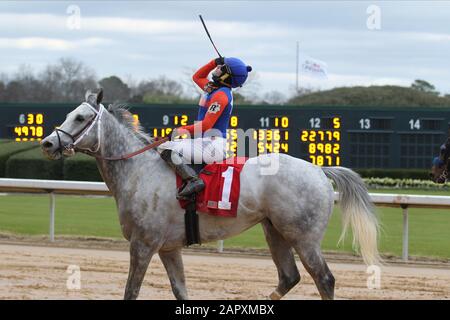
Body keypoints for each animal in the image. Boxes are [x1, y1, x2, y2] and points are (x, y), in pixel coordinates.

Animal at [39, 90, 380, 300]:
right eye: (70, 113)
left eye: (80, 117)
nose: (47, 143)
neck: (139, 170)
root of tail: (320, 170)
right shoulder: (168, 247)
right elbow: (180, 291)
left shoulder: (144, 243)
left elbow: (131, 291)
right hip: (275, 232)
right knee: (289, 277)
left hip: (304, 237)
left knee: (324, 279)